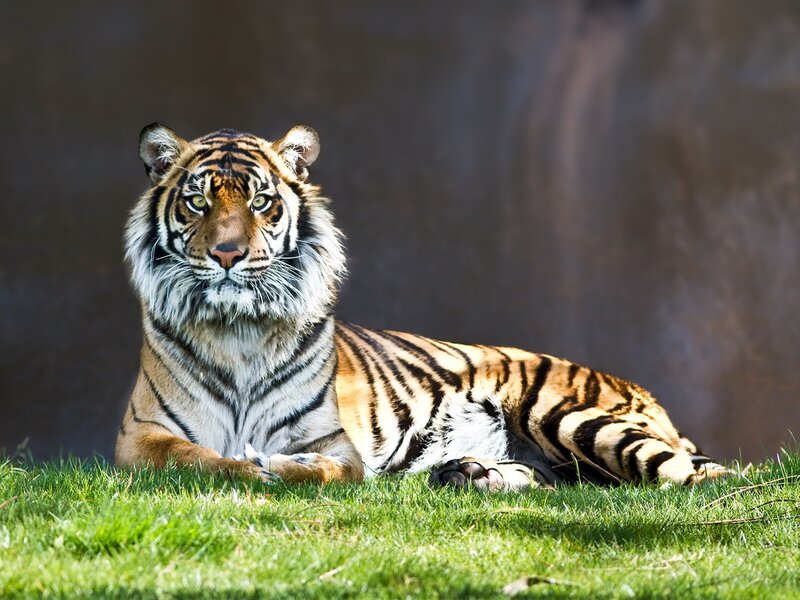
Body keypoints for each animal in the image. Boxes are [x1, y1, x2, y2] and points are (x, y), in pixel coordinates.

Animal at [116, 123, 730, 491]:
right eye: (197, 201)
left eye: (261, 201)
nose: (227, 253)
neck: (239, 330)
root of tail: (646, 394)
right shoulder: (140, 439)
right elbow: (198, 459)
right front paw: (248, 466)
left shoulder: (335, 443)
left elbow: (324, 470)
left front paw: (276, 466)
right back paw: (469, 473)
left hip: (572, 416)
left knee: (701, 479)